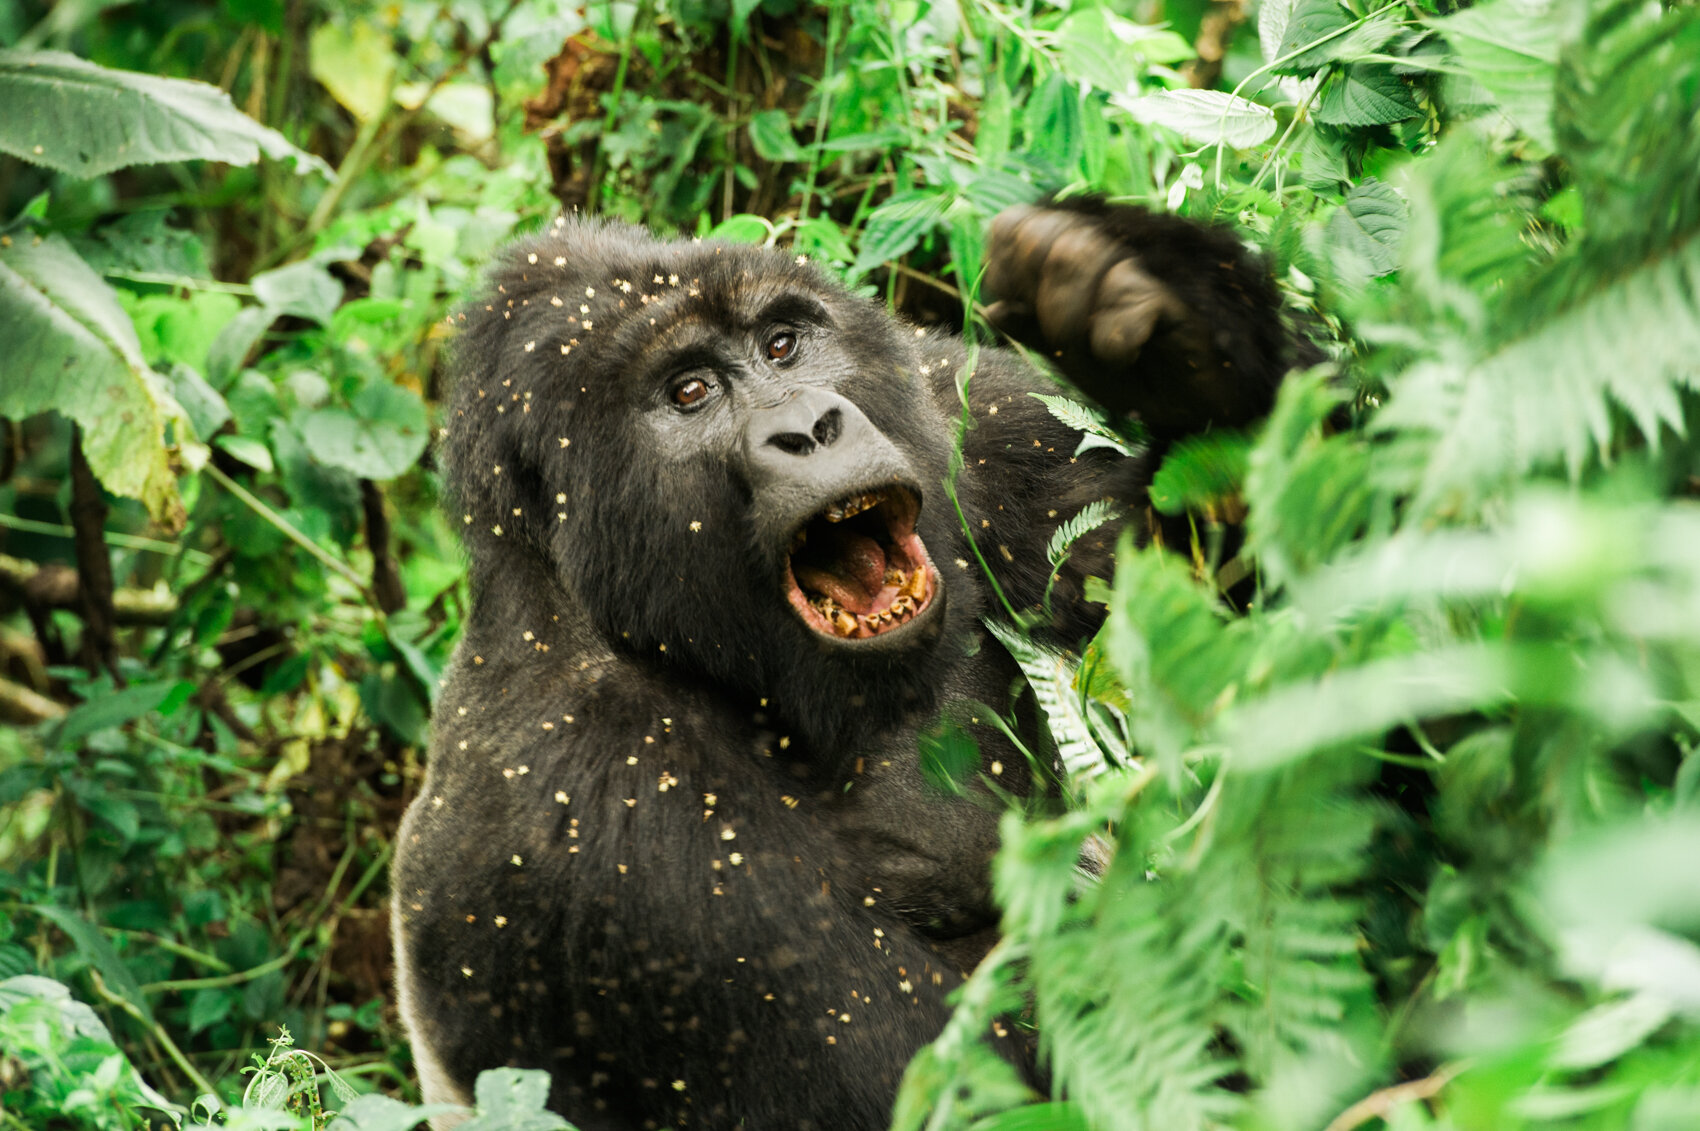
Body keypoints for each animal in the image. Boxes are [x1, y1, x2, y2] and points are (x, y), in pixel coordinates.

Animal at [389, 198, 1285, 1122]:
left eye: (782, 344)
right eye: (689, 392)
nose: (808, 429)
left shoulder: (959, 409)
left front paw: (1181, 335)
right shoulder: (607, 803)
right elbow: (968, 1081)